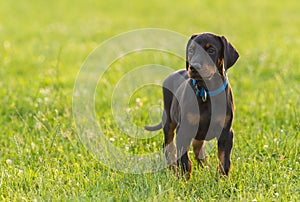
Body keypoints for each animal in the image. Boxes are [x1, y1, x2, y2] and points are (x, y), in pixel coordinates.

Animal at [145, 32, 239, 179]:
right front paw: (184, 180)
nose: (194, 67)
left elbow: (224, 160)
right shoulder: (184, 130)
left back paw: (204, 166)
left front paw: (222, 180)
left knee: (197, 146)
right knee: (169, 147)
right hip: (169, 121)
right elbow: (184, 160)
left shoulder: (226, 132)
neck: (206, 91)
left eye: (211, 50)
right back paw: (173, 170)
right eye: (191, 50)